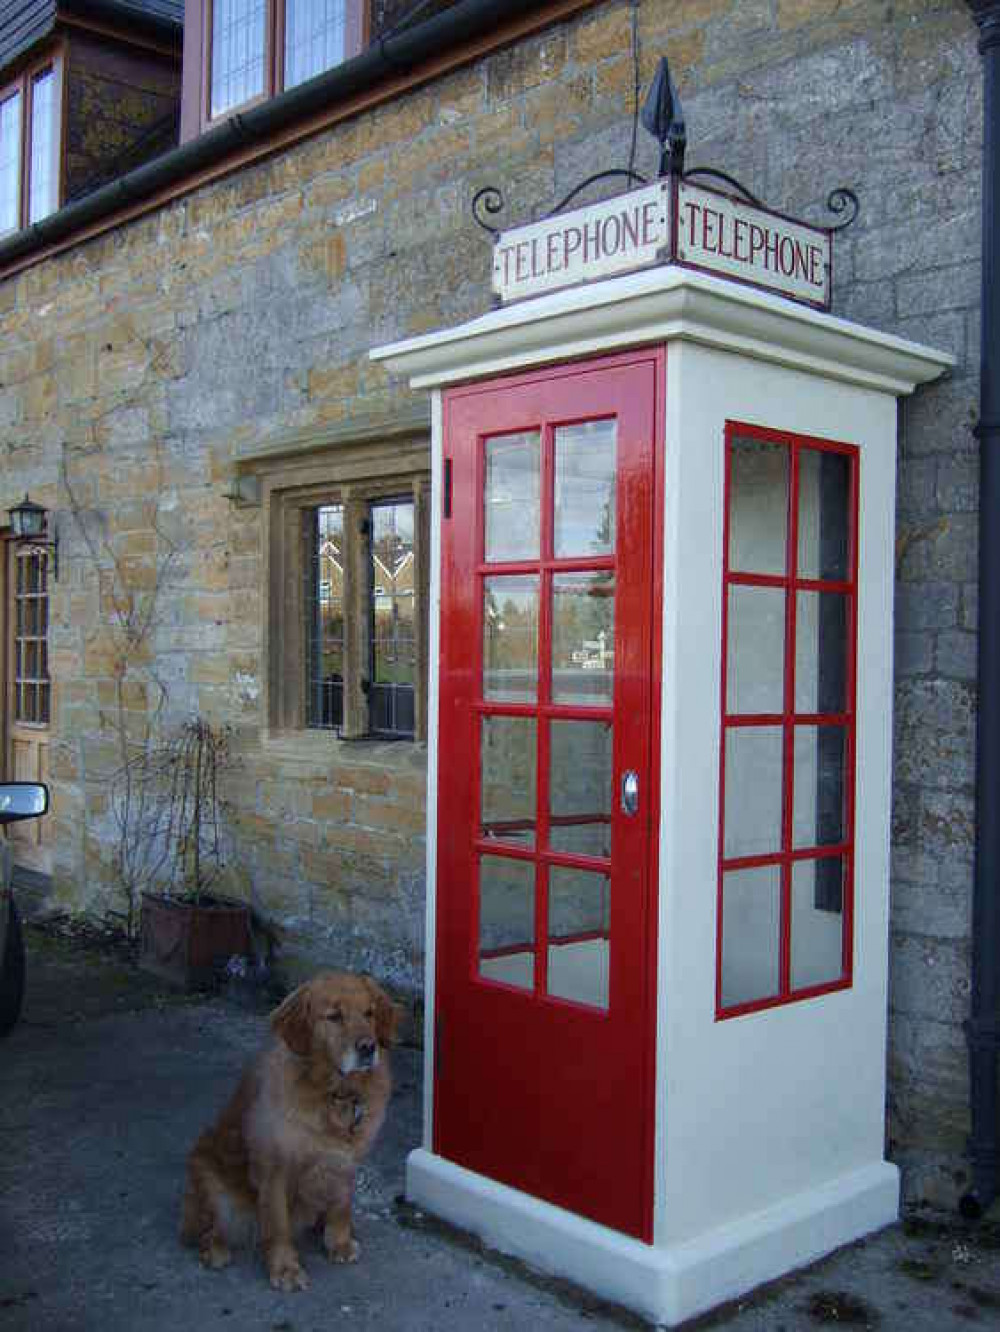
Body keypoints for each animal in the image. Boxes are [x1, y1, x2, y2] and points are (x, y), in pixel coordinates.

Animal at [179, 975, 399, 1284]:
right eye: (334, 1016)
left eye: (369, 1013)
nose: (368, 1048)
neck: (337, 1094)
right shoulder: (275, 1168)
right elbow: (277, 1224)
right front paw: (284, 1268)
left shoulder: (346, 1160)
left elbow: (341, 1205)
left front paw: (339, 1241)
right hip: (208, 1175)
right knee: (205, 1230)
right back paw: (215, 1250)